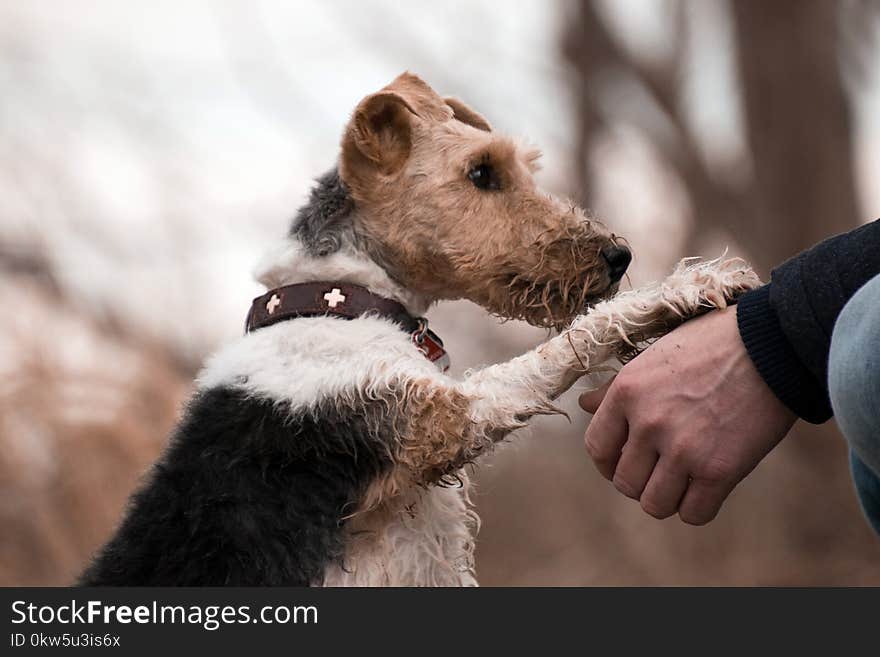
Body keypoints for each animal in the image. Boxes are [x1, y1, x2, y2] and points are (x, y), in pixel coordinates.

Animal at [79, 72, 760, 584]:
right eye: (481, 172)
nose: (617, 256)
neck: (341, 299)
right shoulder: (442, 418)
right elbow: (563, 345)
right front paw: (690, 286)